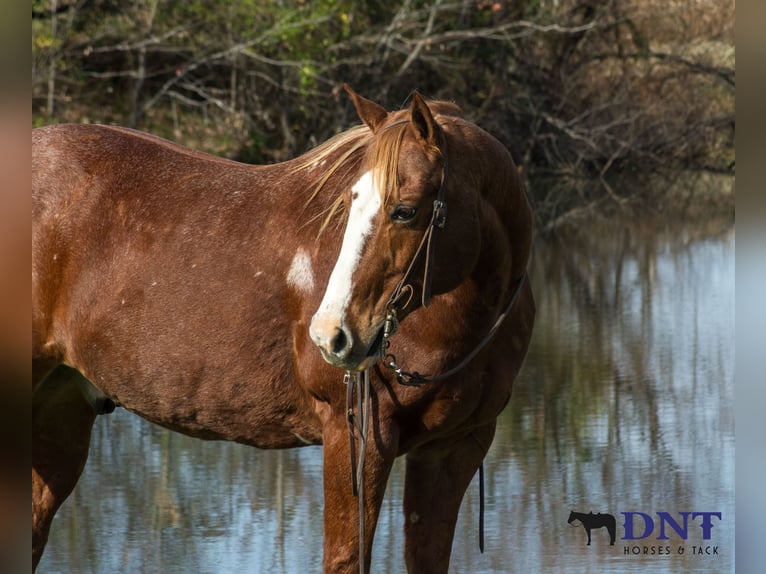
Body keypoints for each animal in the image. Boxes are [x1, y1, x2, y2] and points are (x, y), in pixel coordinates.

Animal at [32, 85, 535, 573]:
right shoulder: (356, 438)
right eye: (349, 202)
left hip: (60, 414)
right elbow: (345, 558)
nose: (332, 333)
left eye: (406, 211)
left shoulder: (453, 447)